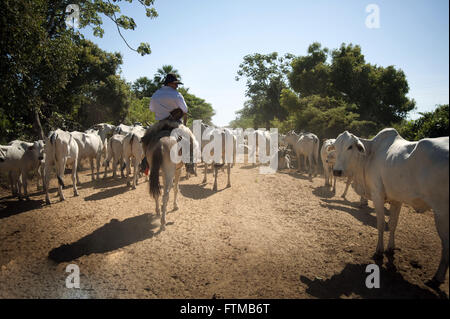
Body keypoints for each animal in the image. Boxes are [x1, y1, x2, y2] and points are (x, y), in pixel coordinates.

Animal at [332, 129, 448, 286]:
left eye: (350, 147)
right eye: (336, 147)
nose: (336, 171)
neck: (370, 155)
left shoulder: (377, 195)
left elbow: (381, 224)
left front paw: (379, 251)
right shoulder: (396, 199)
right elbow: (393, 224)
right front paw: (390, 248)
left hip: (442, 213)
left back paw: (438, 277)